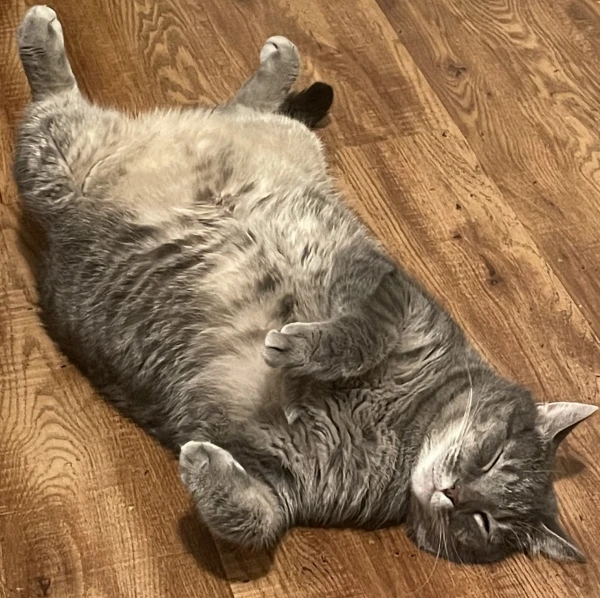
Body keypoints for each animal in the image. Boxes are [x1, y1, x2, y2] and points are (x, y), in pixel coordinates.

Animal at [12, 5, 596, 568]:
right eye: (492, 455)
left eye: (483, 523)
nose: (453, 494)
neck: (402, 427)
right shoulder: (392, 291)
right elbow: (363, 332)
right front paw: (304, 349)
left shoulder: (281, 478)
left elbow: (256, 522)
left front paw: (202, 465)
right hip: (61, 160)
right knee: (67, 93)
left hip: (64, 158)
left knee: (233, 107)